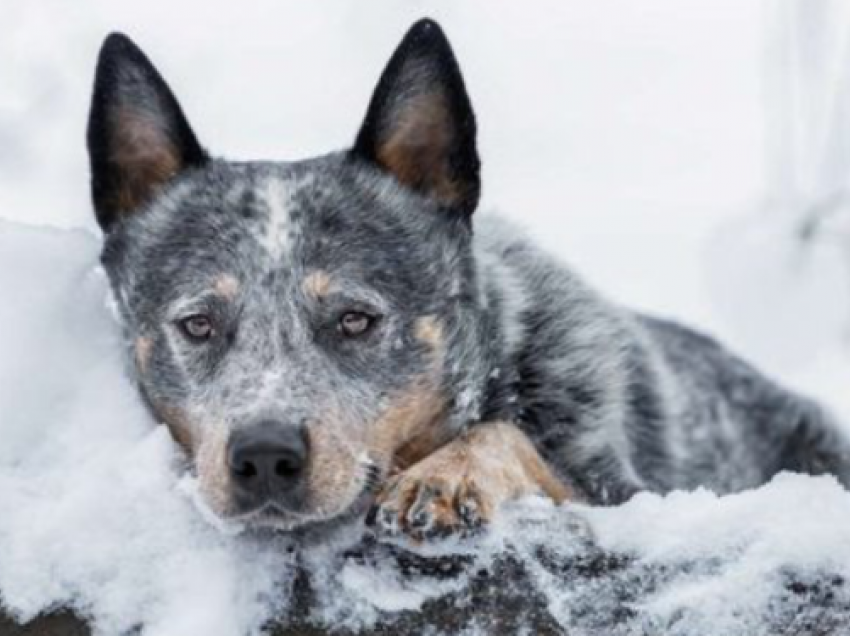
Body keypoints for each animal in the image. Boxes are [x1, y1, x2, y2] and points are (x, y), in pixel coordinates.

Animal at [86, 17, 848, 540]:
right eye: (198, 324)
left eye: (356, 319)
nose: (266, 455)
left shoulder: (636, 493)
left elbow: (507, 437)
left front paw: (444, 475)